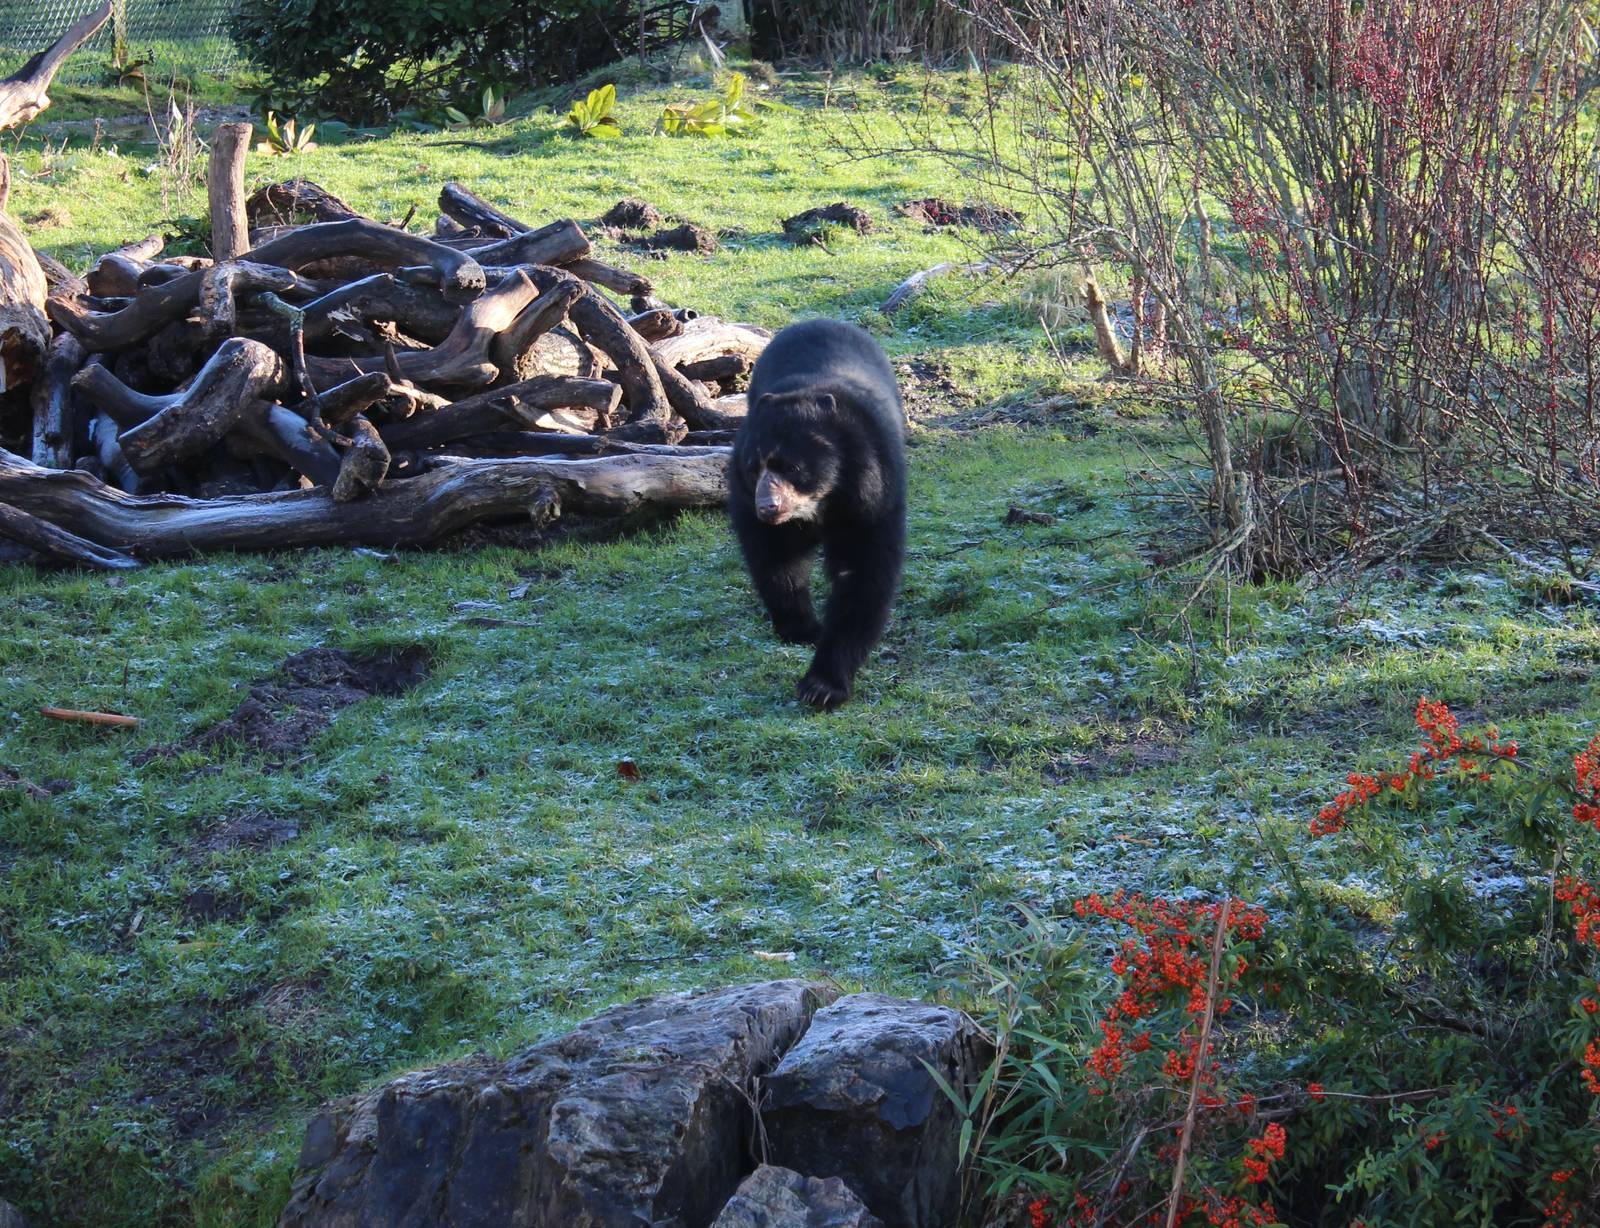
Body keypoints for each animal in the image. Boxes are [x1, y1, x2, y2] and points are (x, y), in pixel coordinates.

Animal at [729, 318, 907, 710]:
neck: (820, 502)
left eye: (792, 468)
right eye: (753, 468)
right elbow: (775, 561)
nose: (768, 507)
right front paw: (803, 629)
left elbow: (863, 573)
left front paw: (822, 686)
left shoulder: (871, 494)